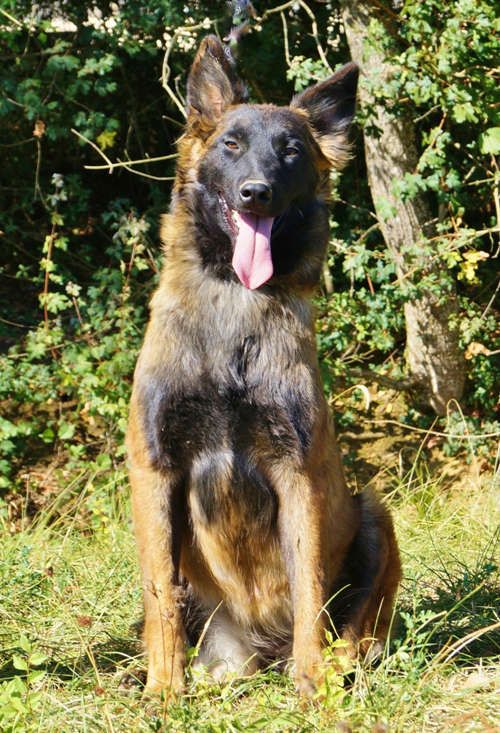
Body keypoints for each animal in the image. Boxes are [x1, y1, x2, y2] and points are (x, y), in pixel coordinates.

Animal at [127, 35, 401, 698]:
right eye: (231, 144)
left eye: (291, 151)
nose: (256, 192)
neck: (236, 301)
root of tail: (256, 647)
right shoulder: (154, 468)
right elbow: (159, 593)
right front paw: (164, 691)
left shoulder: (296, 471)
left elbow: (309, 588)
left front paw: (312, 688)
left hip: (376, 515)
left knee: (357, 624)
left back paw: (338, 667)